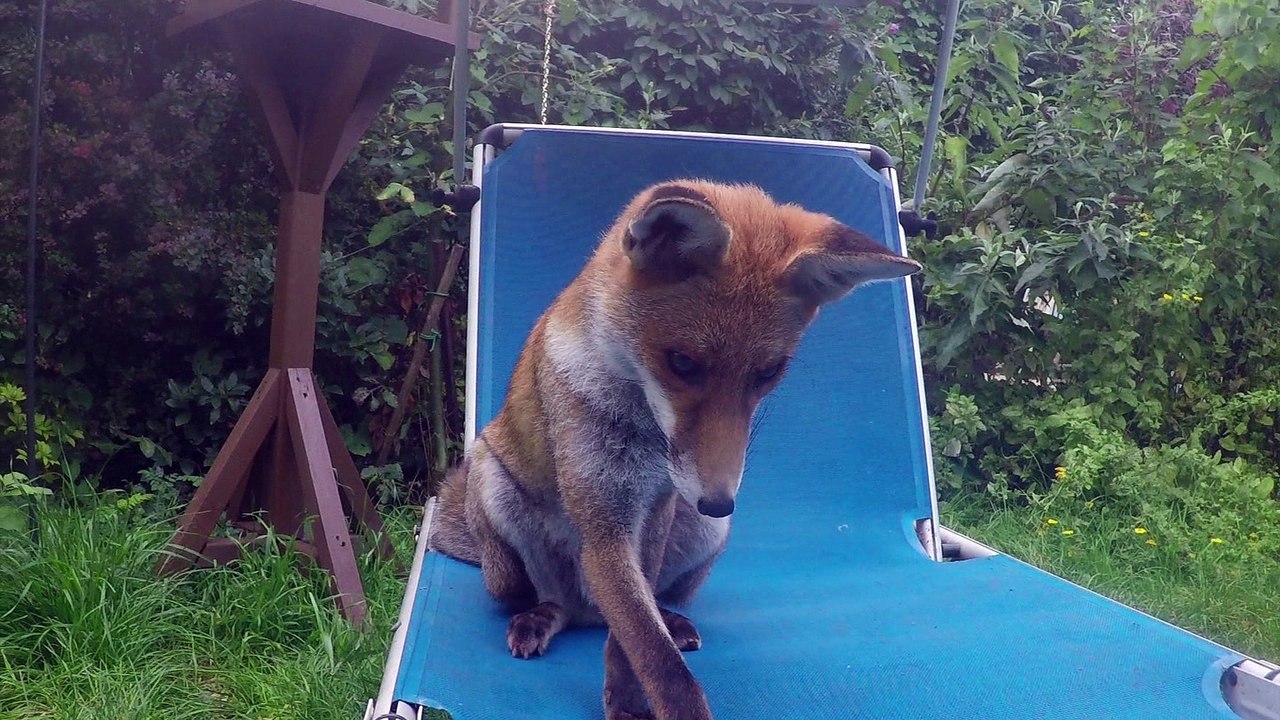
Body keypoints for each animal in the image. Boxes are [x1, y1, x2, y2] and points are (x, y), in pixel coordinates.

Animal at [429, 178, 921, 720]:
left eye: (768, 373)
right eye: (682, 362)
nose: (719, 501)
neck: (640, 430)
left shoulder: (657, 507)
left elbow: (635, 638)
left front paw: (625, 696)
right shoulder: (604, 523)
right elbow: (656, 657)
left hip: (706, 534)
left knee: (628, 612)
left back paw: (672, 620)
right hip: (496, 503)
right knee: (554, 602)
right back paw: (538, 617)